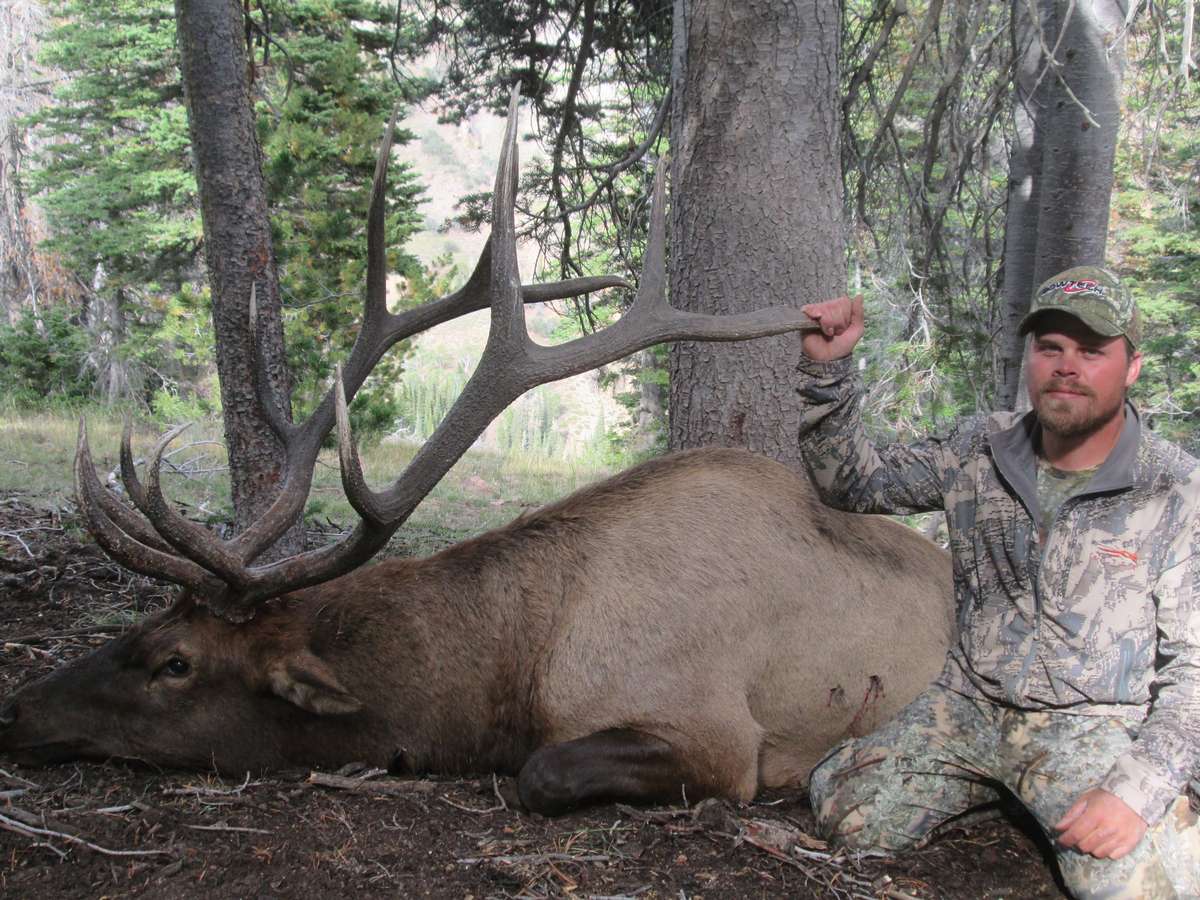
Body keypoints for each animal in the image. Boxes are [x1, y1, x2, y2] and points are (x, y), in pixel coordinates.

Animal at [0, 93, 955, 816]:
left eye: (175, 662)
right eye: (143, 625)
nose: (18, 709)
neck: (514, 672)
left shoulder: (717, 734)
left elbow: (541, 772)